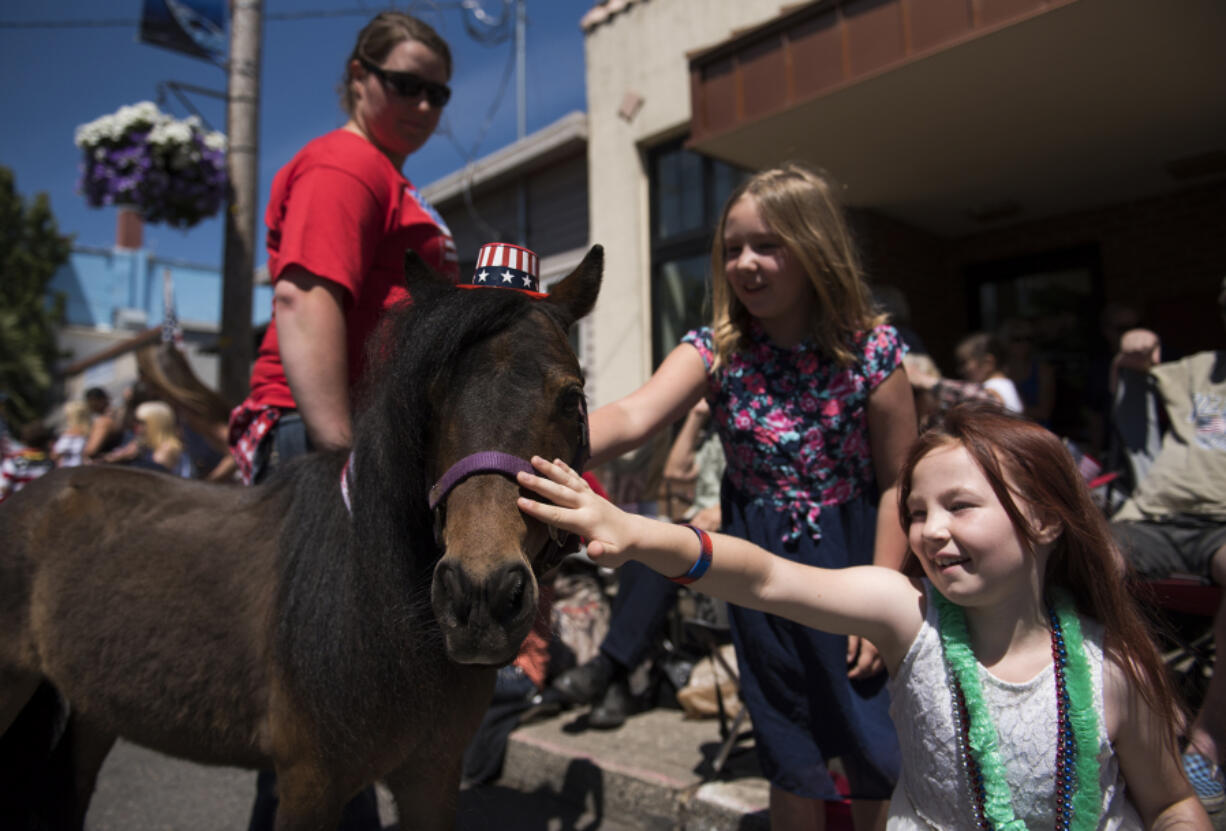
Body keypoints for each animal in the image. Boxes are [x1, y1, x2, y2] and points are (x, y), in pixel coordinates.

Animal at [0, 243, 603, 828]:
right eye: (427, 398)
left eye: (571, 397)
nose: (480, 594)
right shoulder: (309, 784)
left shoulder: (431, 775)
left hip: (95, 709)